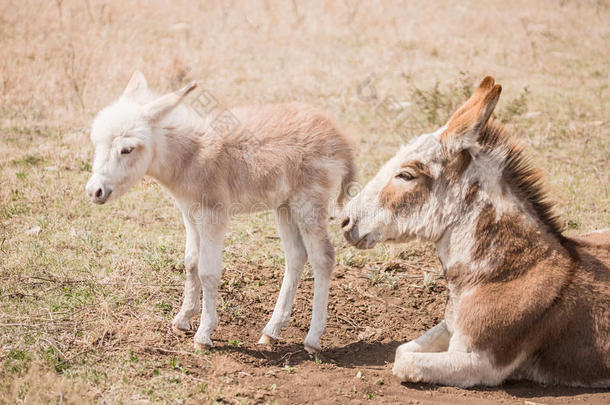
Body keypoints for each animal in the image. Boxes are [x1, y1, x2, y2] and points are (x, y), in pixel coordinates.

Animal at [83, 72, 354, 350]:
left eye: (127, 149)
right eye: (96, 143)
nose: (94, 191)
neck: (190, 156)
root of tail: (339, 138)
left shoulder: (212, 215)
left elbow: (208, 271)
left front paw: (204, 334)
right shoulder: (189, 213)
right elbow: (190, 262)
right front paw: (183, 318)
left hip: (308, 204)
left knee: (323, 258)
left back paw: (313, 338)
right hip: (285, 207)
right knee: (296, 257)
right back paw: (271, 330)